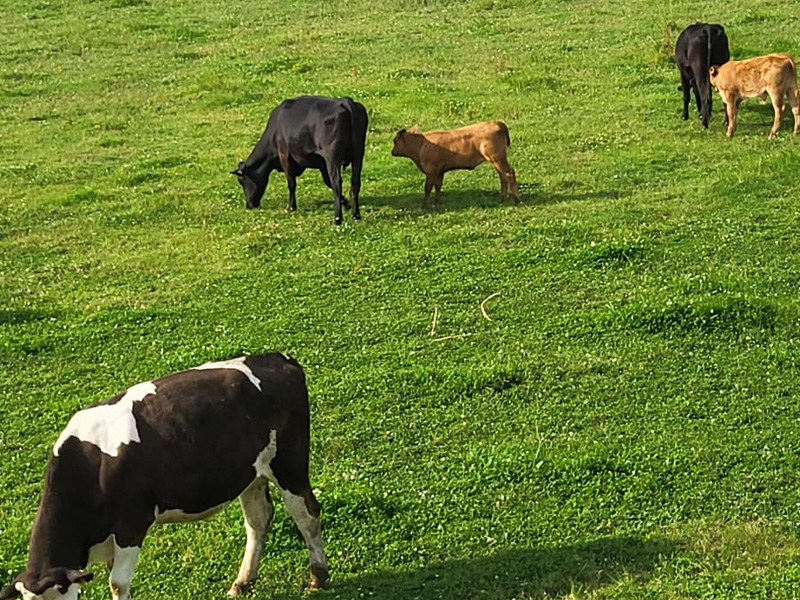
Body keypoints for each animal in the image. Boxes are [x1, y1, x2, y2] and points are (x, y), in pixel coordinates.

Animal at [0, 353, 328, 600]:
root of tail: (277, 358)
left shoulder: (132, 524)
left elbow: (118, 582)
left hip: (290, 465)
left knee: (307, 514)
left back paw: (318, 577)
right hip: (250, 473)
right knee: (258, 520)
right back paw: (242, 582)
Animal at [231, 95, 368, 225]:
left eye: (242, 181)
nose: (249, 205)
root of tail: (345, 101)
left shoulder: (284, 156)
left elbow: (291, 183)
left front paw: (291, 207)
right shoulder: (322, 164)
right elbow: (327, 182)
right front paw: (346, 203)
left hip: (332, 157)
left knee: (337, 184)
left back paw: (337, 219)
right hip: (358, 153)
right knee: (355, 182)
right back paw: (356, 215)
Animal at [390, 121, 521, 208]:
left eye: (395, 141)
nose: (392, 152)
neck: (421, 145)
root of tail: (495, 123)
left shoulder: (431, 171)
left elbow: (427, 188)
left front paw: (424, 206)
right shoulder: (439, 171)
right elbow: (438, 186)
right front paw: (437, 202)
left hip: (497, 158)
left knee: (509, 173)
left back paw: (517, 200)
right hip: (497, 161)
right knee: (502, 176)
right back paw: (502, 198)